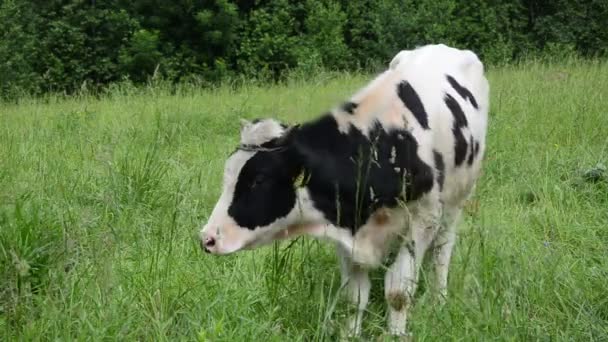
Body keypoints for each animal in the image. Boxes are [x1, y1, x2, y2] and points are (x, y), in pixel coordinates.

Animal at [200, 44, 490, 338]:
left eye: (259, 180)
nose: (207, 238)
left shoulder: (423, 219)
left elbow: (399, 291)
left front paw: (396, 334)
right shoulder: (343, 223)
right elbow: (354, 297)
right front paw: (350, 334)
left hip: (457, 200)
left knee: (443, 250)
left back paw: (438, 299)